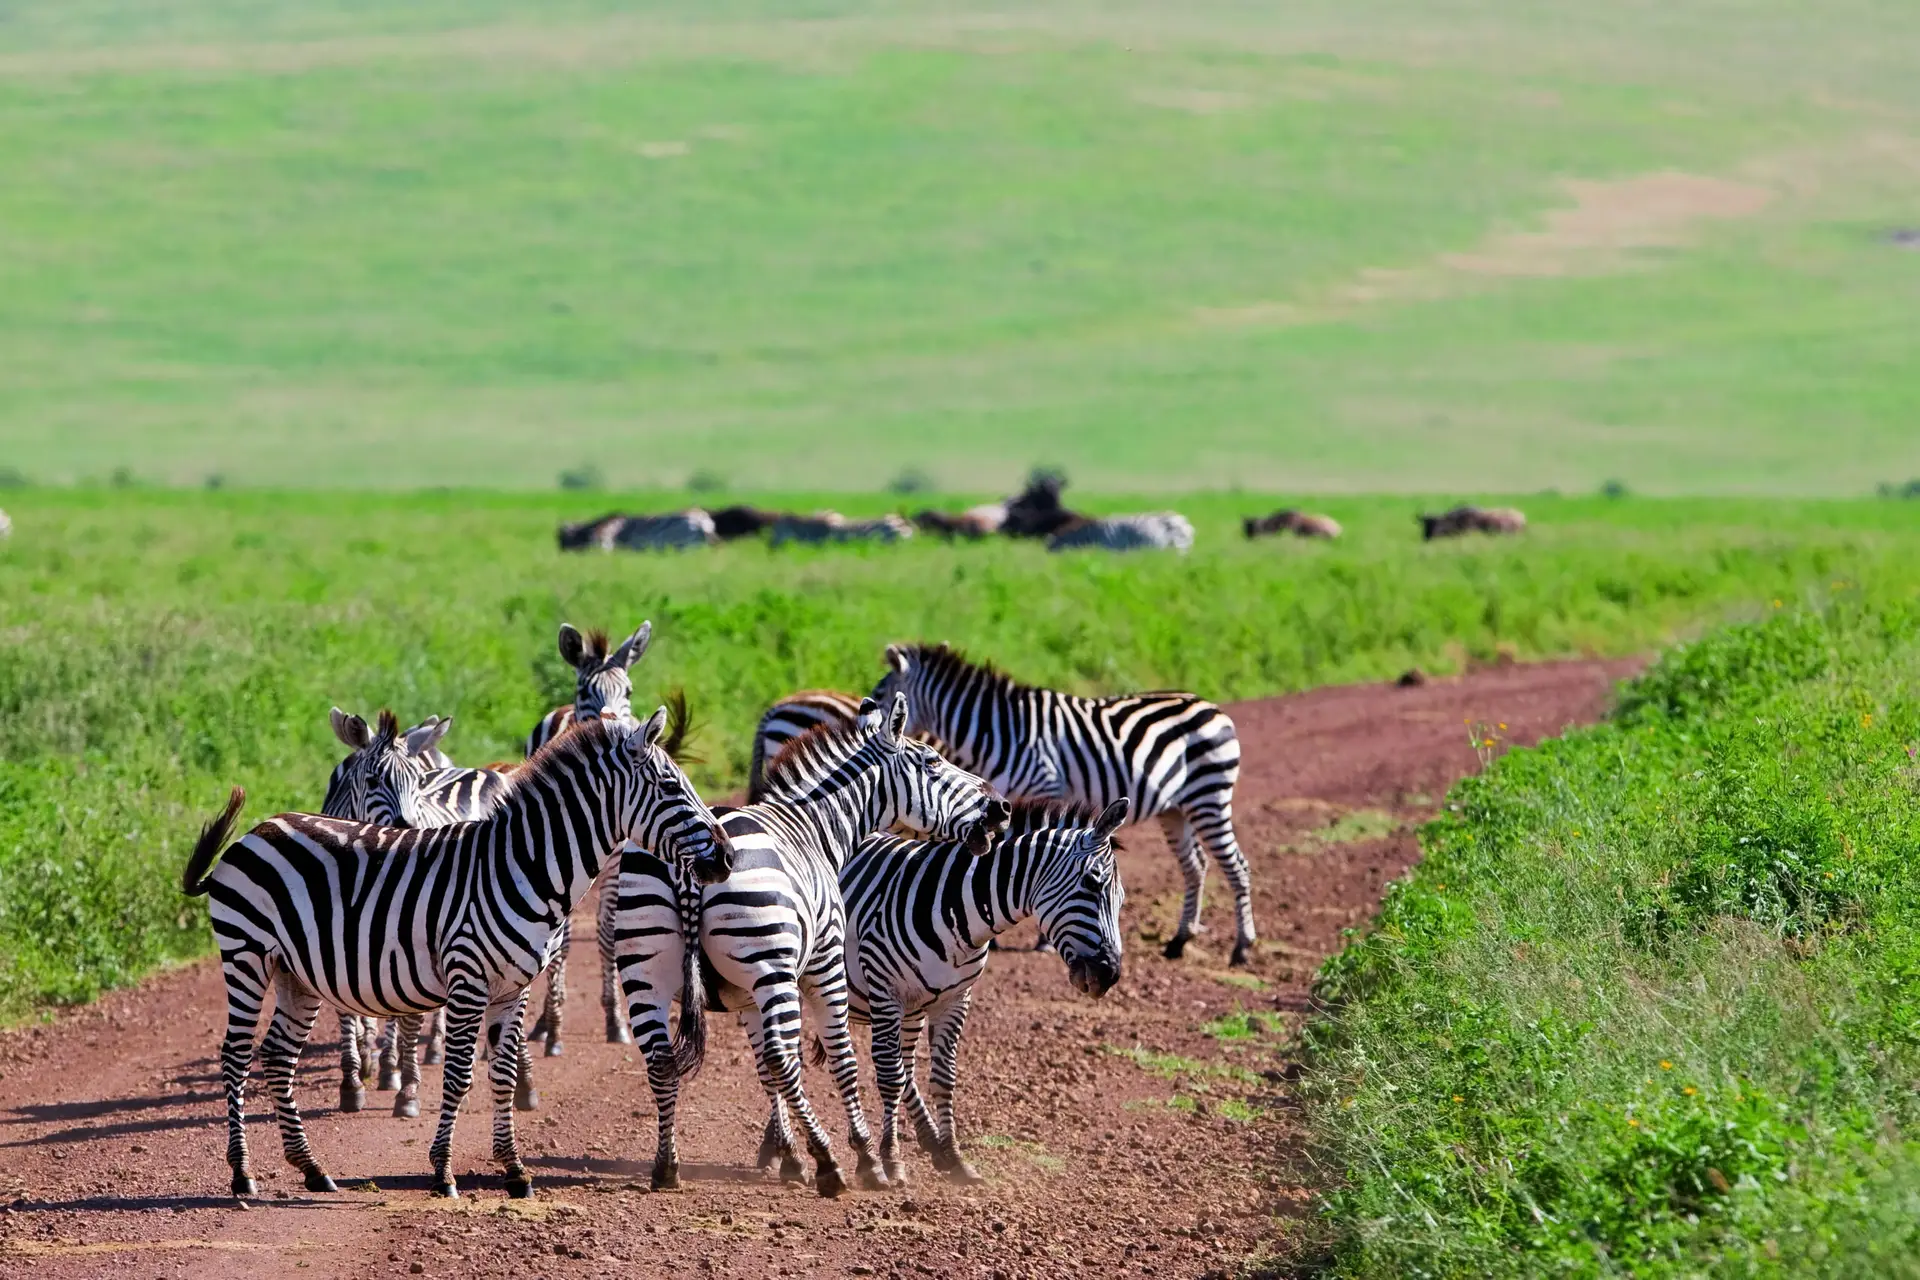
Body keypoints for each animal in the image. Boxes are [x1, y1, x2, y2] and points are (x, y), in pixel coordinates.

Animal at [183, 707, 730, 1200]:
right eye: (670, 787)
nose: (726, 858)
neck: (523, 867)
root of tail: (259, 829)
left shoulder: (513, 988)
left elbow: (503, 1075)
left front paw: (514, 1171)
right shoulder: (469, 981)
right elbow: (460, 1076)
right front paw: (444, 1172)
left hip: (296, 975)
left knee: (278, 1056)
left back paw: (313, 1169)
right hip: (246, 955)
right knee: (236, 1055)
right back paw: (242, 1175)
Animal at [522, 621, 652, 1053]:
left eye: (628, 691)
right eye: (585, 691)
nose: (609, 723)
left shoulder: (615, 863)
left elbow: (609, 932)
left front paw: (616, 1022)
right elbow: (559, 941)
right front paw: (553, 1028)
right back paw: (543, 1023)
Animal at [612, 693, 1010, 1196]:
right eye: (933, 762)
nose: (1001, 809)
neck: (815, 828)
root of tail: (692, 862)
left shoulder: (746, 995)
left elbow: (765, 1070)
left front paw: (788, 1157)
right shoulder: (825, 962)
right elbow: (840, 1058)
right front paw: (864, 1158)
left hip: (644, 970)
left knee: (662, 1060)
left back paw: (667, 1167)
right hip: (770, 969)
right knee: (785, 1062)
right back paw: (830, 1164)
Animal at [760, 798, 1129, 1187]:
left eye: (1122, 899)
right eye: (1091, 883)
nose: (1108, 974)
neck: (956, 905)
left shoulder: (954, 999)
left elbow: (942, 1077)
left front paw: (953, 1156)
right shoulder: (887, 993)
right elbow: (889, 1076)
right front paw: (891, 1159)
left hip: (912, 1004)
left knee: (899, 1063)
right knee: (786, 1058)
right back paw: (782, 1153)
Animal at [871, 642, 1256, 965]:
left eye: (878, 694)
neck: (1000, 731)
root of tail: (1209, 706)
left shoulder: (1047, 788)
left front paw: (1040, 941)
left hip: (1209, 795)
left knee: (1236, 865)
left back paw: (1242, 948)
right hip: (1175, 809)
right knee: (1195, 865)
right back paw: (1179, 941)